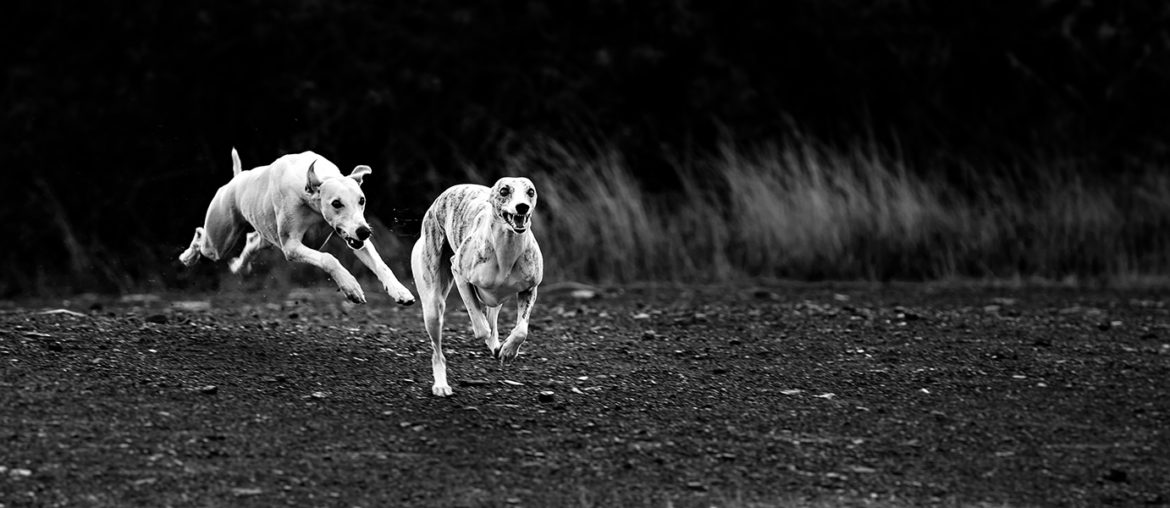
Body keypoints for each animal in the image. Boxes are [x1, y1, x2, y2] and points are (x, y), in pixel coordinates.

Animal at [180, 148, 418, 306]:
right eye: (336, 203)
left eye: (362, 200)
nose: (365, 231)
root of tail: (236, 180)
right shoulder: (291, 247)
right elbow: (329, 258)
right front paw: (351, 287)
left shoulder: (354, 238)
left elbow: (381, 264)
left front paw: (400, 291)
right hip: (218, 241)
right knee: (202, 236)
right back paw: (188, 256)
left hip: (263, 237)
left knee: (252, 241)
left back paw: (240, 266)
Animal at [414, 179, 545, 397]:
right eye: (504, 191)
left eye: (530, 191)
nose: (522, 207)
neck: (506, 249)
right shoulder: (459, 272)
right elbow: (479, 321)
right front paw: (486, 333)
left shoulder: (530, 289)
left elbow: (521, 330)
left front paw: (508, 350)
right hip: (433, 306)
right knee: (438, 352)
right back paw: (441, 385)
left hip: (496, 300)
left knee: (493, 318)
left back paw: (498, 347)